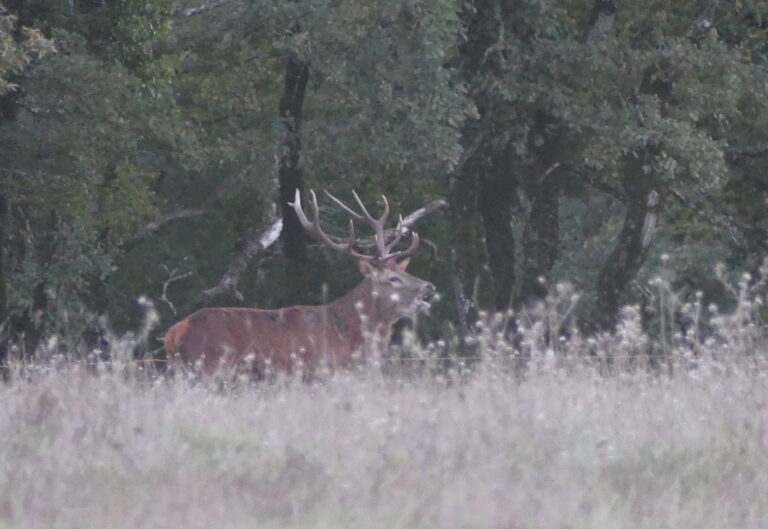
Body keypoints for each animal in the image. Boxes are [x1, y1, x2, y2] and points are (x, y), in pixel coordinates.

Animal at [163, 189, 439, 376]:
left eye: (402, 271)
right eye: (393, 278)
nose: (429, 287)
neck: (350, 338)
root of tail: (172, 334)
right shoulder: (320, 373)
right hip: (209, 369)